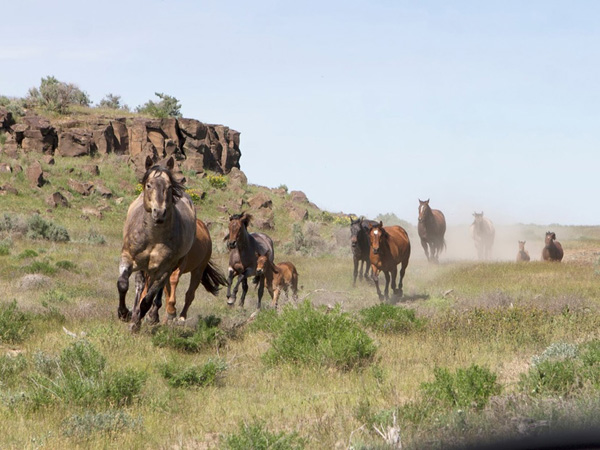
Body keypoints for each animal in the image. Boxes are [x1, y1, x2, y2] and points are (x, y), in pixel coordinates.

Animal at [119, 156, 197, 332]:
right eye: (149, 185)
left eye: (169, 186)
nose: (159, 213)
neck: (153, 237)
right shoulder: (127, 257)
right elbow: (123, 284)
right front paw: (124, 313)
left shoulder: (163, 269)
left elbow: (148, 299)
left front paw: (136, 322)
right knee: (140, 284)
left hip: (171, 266)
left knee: (157, 291)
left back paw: (150, 316)